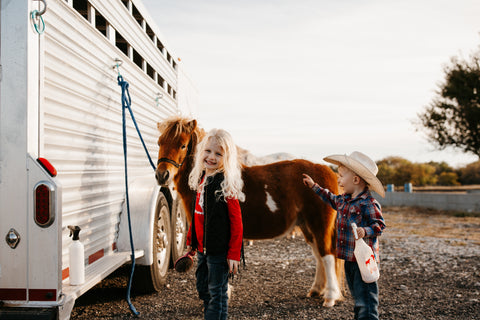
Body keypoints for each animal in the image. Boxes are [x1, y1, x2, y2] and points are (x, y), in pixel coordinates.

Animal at [156, 116, 344, 306]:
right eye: (159, 142)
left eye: (183, 145)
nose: (162, 175)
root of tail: (326, 170)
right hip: (306, 225)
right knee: (318, 255)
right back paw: (317, 290)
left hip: (319, 224)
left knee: (327, 255)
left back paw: (330, 297)